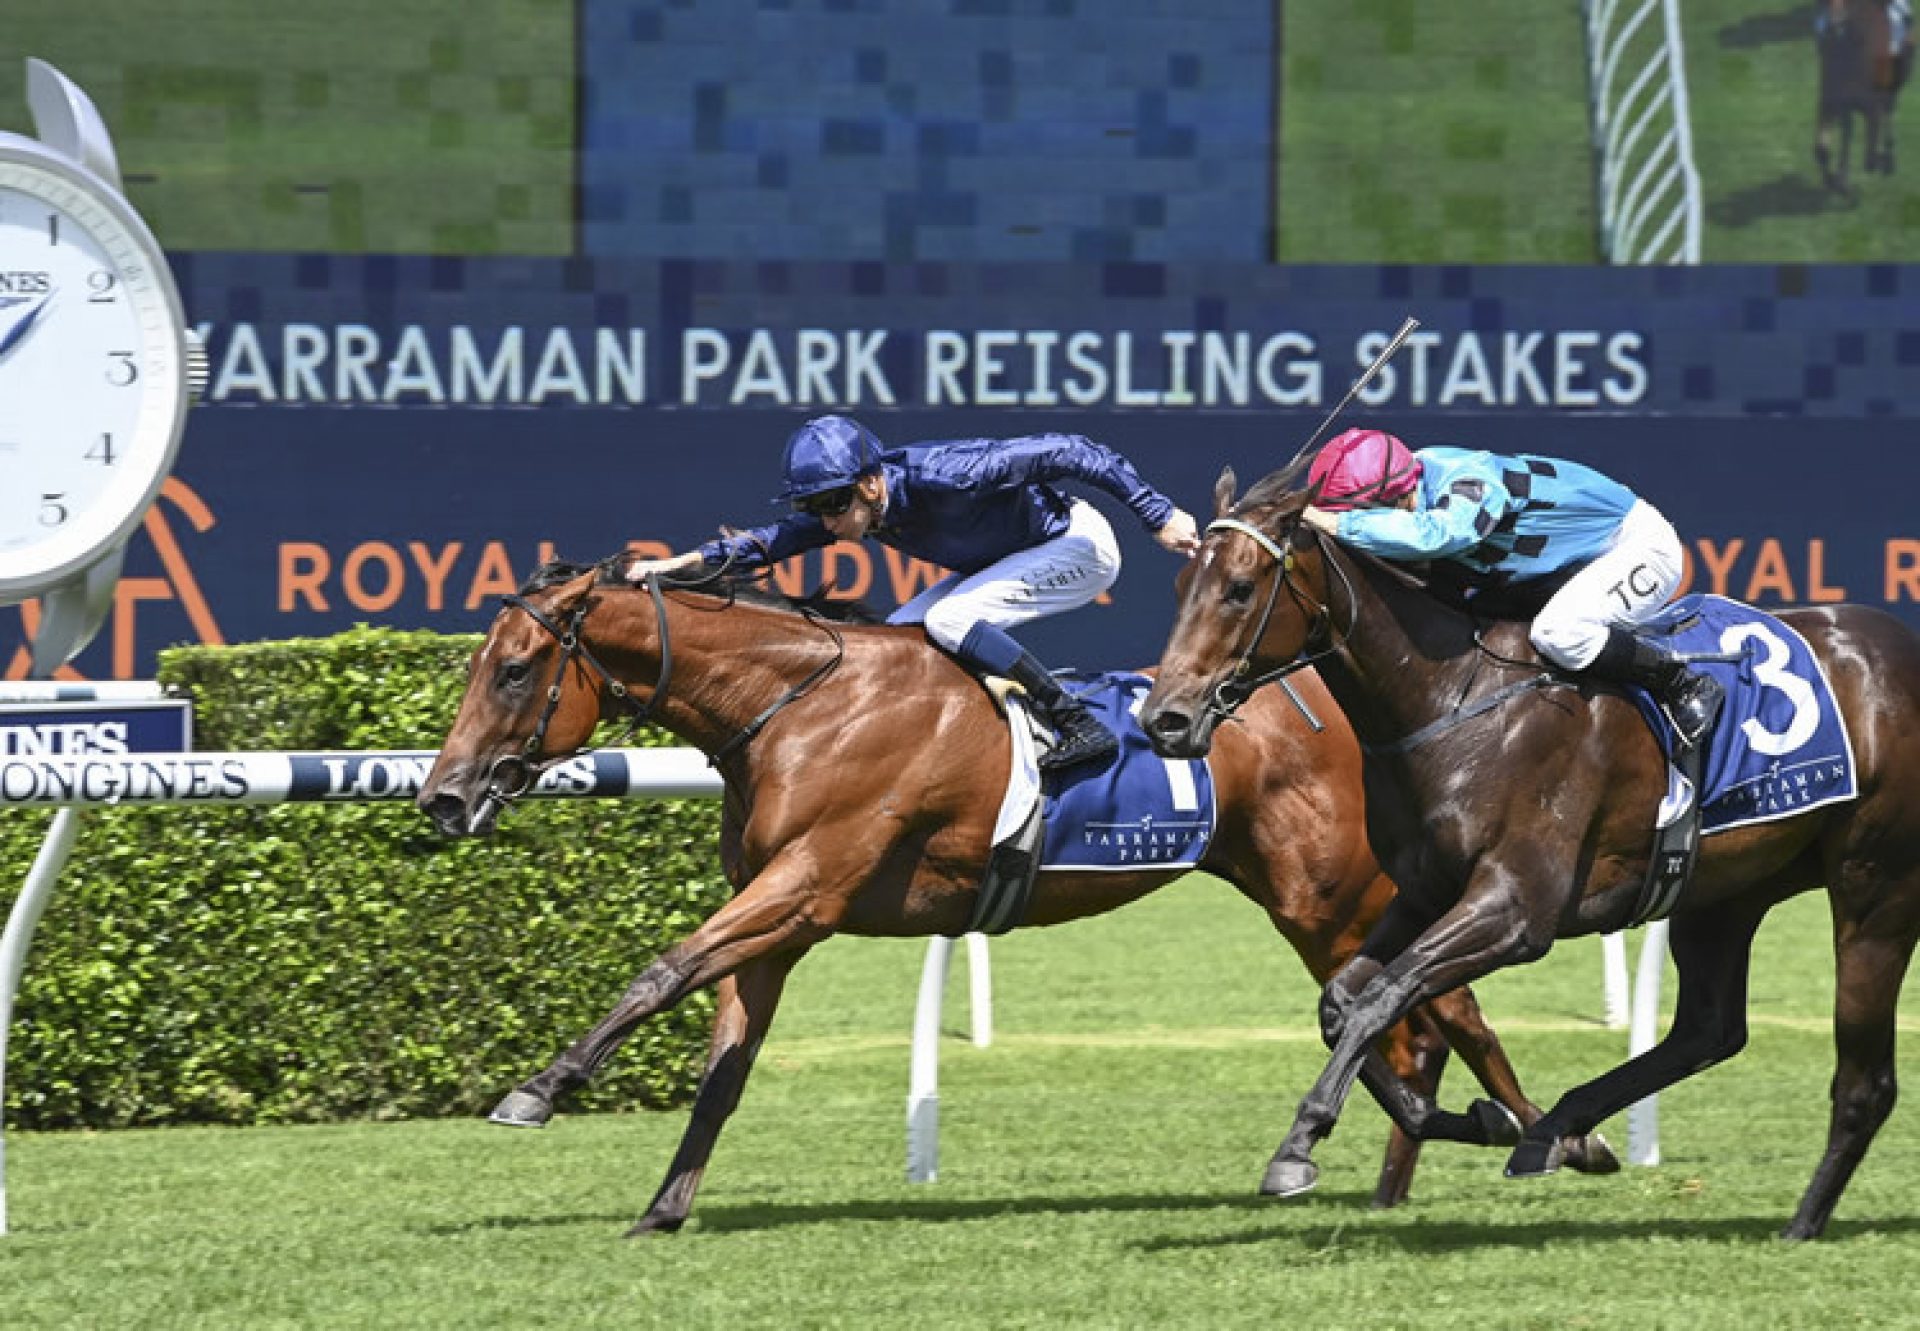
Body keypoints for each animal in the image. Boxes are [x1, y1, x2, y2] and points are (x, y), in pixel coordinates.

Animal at [420, 556, 1620, 1229]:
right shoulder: (780, 918)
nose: (441, 794)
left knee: (1437, 1012)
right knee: (1404, 1024)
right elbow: (724, 1067)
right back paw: (1430, 1157)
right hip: (1313, 900)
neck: (799, 702)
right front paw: (665, 1207)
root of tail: (1322, 682)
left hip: (1329, 893)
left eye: (515, 669)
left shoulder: (808, 882)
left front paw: (539, 1086)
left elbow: (660, 967)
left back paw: (1549, 1137)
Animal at [1128, 464, 1920, 1236]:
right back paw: (1560, 1130)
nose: (1165, 720)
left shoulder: (1514, 908)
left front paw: (1298, 1145)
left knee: (1864, 1081)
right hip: (1723, 891)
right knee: (1708, 1029)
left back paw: (1801, 1224)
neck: (1453, 698)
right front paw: (1486, 1121)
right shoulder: (1425, 891)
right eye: (1180, 584)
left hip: (1875, 889)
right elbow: (1343, 1003)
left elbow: (1382, 998)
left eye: (1238, 589)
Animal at [1820, 0, 1912, 191]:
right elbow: (1831, 144)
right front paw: (1838, 180)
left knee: (1888, 113)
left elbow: (1869, 155)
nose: (1834, 26)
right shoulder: (1837, 100)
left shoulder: (1871, 103)